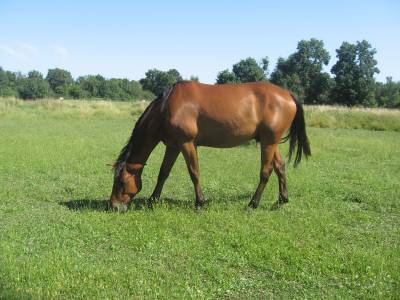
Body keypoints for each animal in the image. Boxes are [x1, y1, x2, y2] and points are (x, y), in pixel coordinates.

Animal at [110, 81, 312, 212]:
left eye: (121, 182)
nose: (113, 206)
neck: (167, 107)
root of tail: (288, 94)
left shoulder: (187, 143)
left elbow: (194, 172)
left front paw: (200, 202)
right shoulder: (173, 146)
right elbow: (164, 173)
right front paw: (153, 200)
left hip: (269, 142)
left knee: (266, 171)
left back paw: (253, 204)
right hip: (270, 141)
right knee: (280, 167)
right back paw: (282, 200)